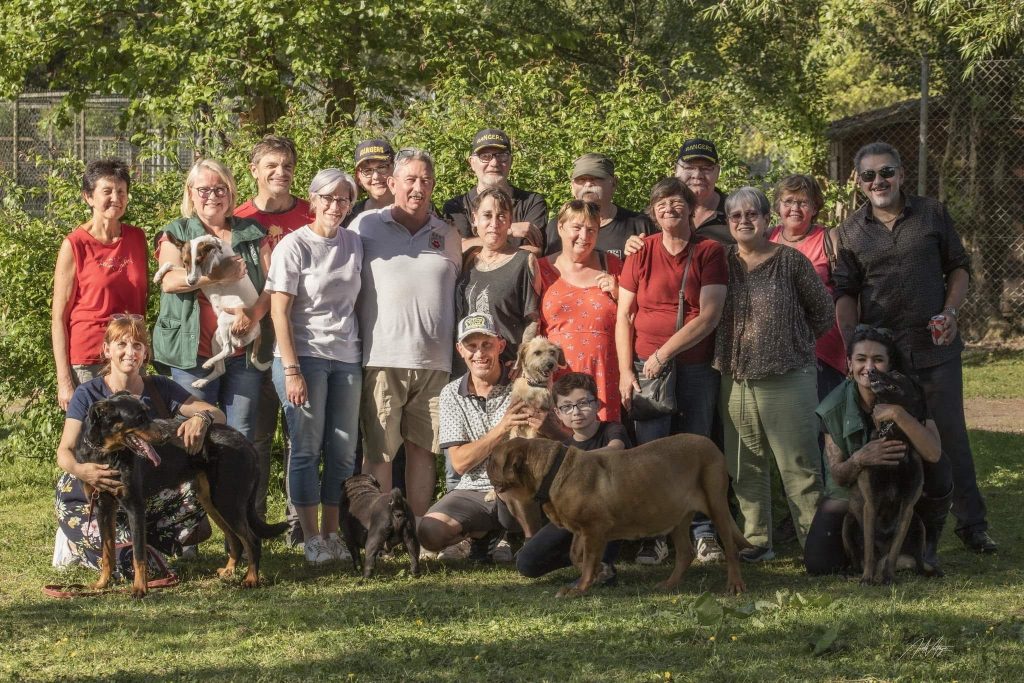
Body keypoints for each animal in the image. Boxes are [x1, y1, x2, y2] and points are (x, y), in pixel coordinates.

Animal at [74, 393, 288, 593]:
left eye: (147, 414)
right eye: (139, 418)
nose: (165, 437)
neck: (106, 454)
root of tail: (246, 442)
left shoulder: (134, 506)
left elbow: (138, 555)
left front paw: (140, 589)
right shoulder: (103, 507)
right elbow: (107, 552)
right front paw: (102, 584)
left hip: (228, 501)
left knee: (252, 540)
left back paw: (251, 579)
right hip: (212, 501)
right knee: (237, 540)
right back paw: (229, 571)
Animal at [483, 436, 749, 593]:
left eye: (494, 459)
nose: (484, 463)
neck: (552, 471)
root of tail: (712, 444)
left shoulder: (594, 529)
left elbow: (588, 559)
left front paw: (580, 587)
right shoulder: (582, 530)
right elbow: (577, 555)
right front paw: (601, 572)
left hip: (717, 505)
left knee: (730, 549)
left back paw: (735, 585)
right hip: (678, 517)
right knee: (685, 553)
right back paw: (669, 584)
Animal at [843, 370, 937, 585]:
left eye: (896, 374)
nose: (871, 371)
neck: (895, 435)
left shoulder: (907, 508)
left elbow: (894, 552)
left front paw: (890, 577)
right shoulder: (871, 504)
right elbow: (869, 549)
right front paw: (867, 578)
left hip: (918, 525)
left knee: (917, 560)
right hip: (848, 522)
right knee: (859, 557)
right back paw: (856, 572)